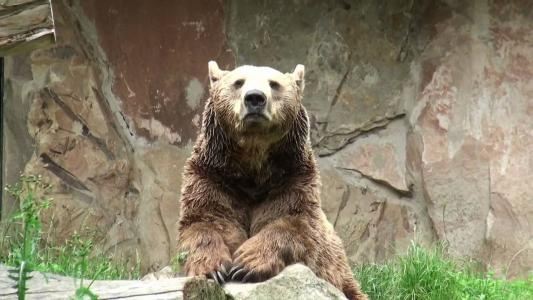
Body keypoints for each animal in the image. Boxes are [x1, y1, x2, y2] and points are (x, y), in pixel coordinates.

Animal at [177, 61, 368, 300]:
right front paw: (213, 268)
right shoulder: (213, 179)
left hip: (344, 278)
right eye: (238, 82)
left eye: (274, 84)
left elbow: (293, 222)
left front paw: (246, 263)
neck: (253, 170)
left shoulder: (291, 181)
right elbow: (205, 221)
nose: (255, 98)